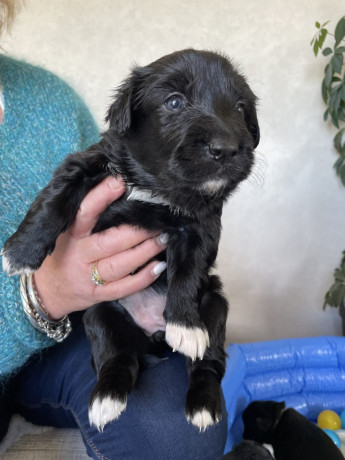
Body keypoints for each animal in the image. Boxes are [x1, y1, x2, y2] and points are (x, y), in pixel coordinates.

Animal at [2, 49, 260, 432]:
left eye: (241, 109)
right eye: (174, 102)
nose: (226, 149)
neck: (156, 186)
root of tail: (152, 338)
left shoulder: (200, 226)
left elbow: (187, 272)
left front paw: (185, 325)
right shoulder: (88, 163)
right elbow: (52, 200)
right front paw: (20, 252)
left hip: (215, 304)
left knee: (208, 365)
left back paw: (202, 405)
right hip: (101, 314)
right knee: (118, 359)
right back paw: (106, 400)